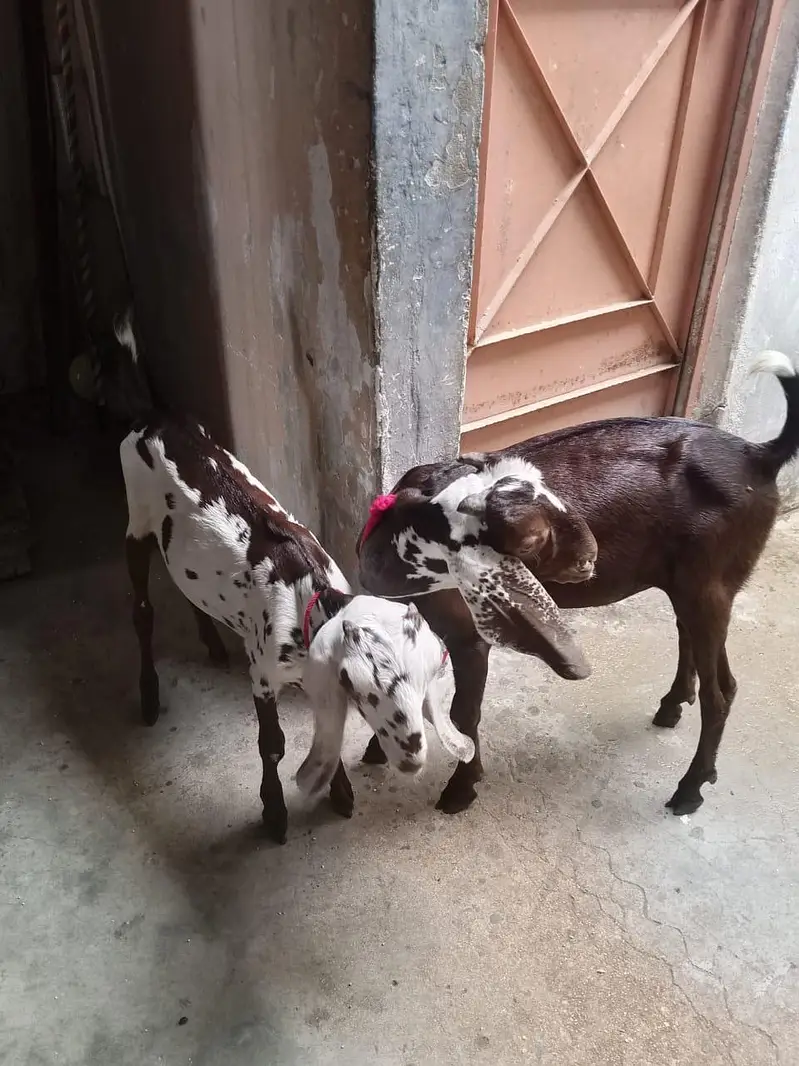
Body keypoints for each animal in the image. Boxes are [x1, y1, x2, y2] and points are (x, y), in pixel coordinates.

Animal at [117, 328, 473, 844]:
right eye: (365, 690)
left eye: (431, 676)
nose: (412, 755)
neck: (311, 597)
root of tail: (152, 418)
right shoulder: (263, 673)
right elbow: (273, 744)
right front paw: (274, 812)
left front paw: (340, 793)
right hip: (136, 519)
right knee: (142, 610)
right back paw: (148, 695)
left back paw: (212, 644)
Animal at [358, 353, 799, 817]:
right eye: (529, 537)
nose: (590, 557)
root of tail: (758, 455)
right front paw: (378, 749)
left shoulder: (469, 636)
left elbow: (465, 714)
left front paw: (461, 789)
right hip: (691, 582)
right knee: (689, 638)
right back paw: (672, 706)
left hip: (711, 584)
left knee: (723, 692)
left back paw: (690, 788)